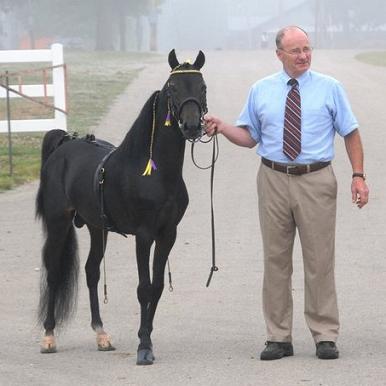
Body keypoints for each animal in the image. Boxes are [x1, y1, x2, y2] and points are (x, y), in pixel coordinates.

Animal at [35, 49, 208, 364]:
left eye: (201, 87)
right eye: (173, 88)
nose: (191, 126)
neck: (153, 172)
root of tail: (64, 144)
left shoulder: (168, 234)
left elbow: (157, 286)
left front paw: (146, 338)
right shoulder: (144, 234)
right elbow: (144, 288)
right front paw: (144, 348)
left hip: (96, 227)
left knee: (91, 271)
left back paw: (101, 335)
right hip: (58, 222)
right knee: (53, 272)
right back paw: (49, 336)